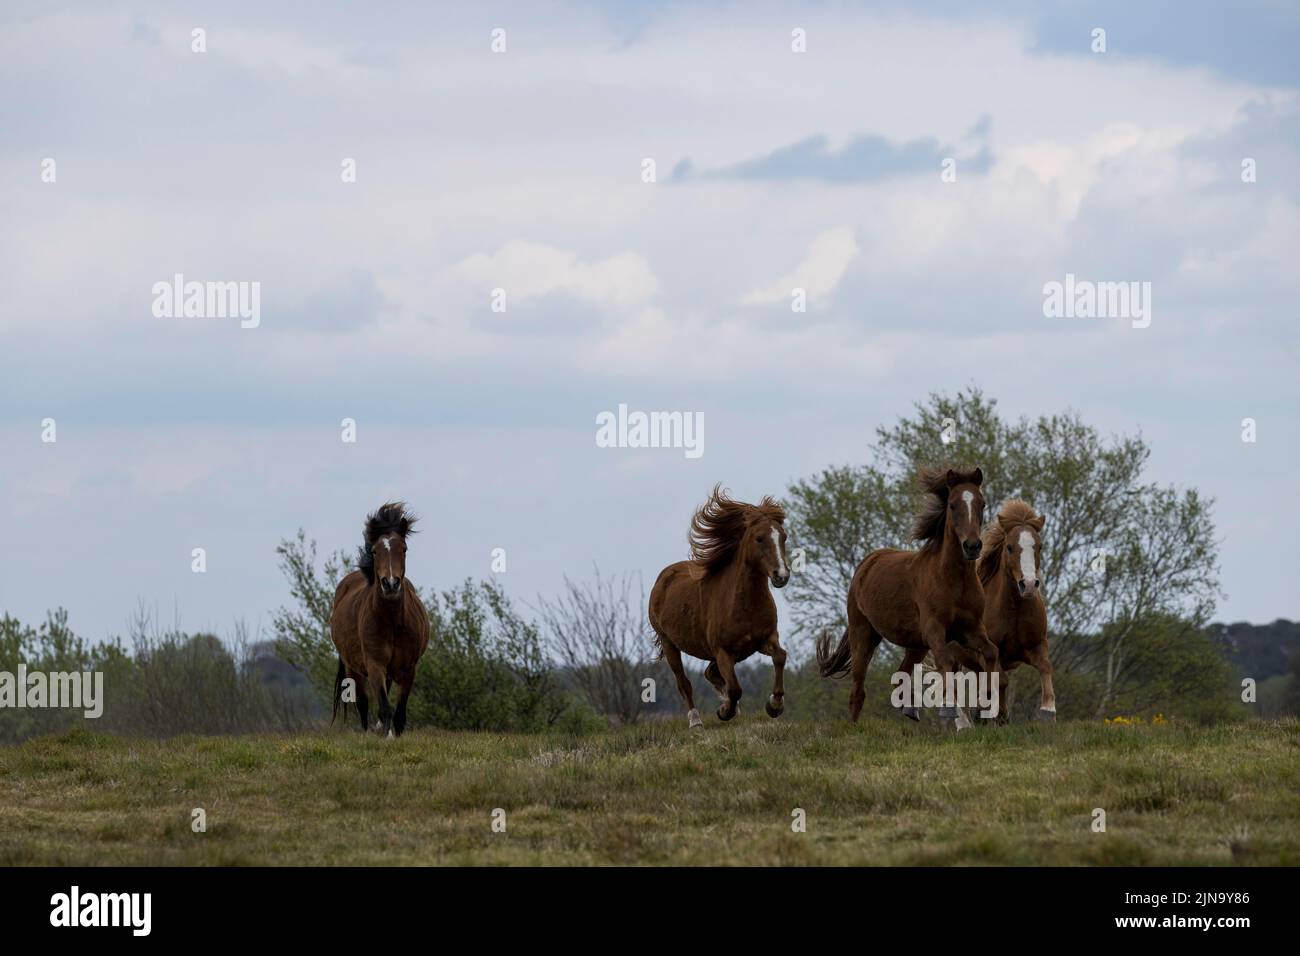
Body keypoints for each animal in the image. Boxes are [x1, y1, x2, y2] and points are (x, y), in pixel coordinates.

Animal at [329, 502, 430, 738]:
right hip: (353, 668)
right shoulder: (375, 665)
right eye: (375, 550)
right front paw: (388, 736)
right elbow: (384, 707)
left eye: (404, 548)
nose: (390, 583)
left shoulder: (409, 668)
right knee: (363, 703)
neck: (392, 622)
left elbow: (400, 712)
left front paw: (397, 734)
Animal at [648, 485, 791, 728]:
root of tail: (663, 578)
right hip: (669, 644)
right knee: (684, 682)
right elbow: (735, 688)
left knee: (710, 673)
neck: (744, 604)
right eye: (759, 539)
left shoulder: (765, 639)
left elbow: (780, 656)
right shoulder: (723, 651)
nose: (781, 575)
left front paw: (774, 705)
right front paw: (725, 711)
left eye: (783, 537)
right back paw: (696, 721)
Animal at [817, 466, 998, 725]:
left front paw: (985, 705)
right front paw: (952, 711)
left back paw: (910, 709)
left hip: (916, 644)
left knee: (899, 673)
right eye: (952, 505)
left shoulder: (970, 630)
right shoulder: (935, 630)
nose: (972, 546)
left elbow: (990, 653)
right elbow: (946, 661)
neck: (953, 580)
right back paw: (854, 726)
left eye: (981, 503)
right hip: (863, 632)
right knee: (858, 690)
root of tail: (867, 563)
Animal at [977, 499, 1055, 721]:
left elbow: (1046, 666)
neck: (1014, 611)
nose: (1028, 585)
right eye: (1010, 547)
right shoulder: (986, 652)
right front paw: (999, 712)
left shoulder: (1035, 645)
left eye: (1039, 546)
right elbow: (1001, 680)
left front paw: (1048, 711)